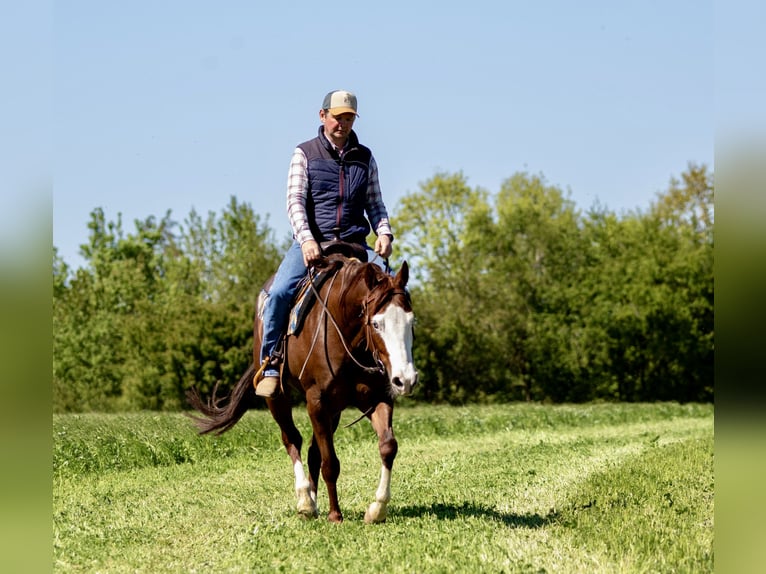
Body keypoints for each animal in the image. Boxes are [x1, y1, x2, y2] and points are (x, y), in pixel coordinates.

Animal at [187, 250, 417, 523]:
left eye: (411, 322)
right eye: (376, 324)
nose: (406, 379)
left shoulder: (375, 398)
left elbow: (387, 447)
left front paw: (377, 509)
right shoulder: (316, 401)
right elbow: (330, 462)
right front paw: (335, 514)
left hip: (333, 410)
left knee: (312, 451)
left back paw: (314, 501)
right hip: (277, 398)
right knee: (292, 439)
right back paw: (305, 501)